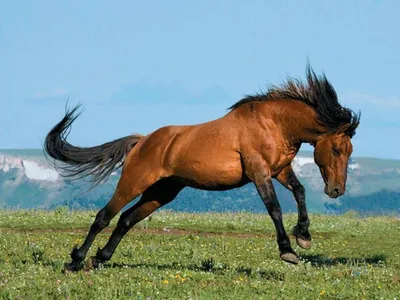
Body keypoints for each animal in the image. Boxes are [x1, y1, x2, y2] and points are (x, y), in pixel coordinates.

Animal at [43, 64, 360, 270]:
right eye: (336, 149)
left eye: (350, 151)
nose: (336, 190)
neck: (274, 123)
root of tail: (143, 141)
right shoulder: (259, 173)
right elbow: (275, 208)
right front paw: (288, 251)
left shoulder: (280, 170)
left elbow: (300, 192)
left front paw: (303, 236)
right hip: (134, 182)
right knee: (104, 216)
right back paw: (76, 261)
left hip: (162, 192)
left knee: (126, 220)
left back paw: (100, 257)